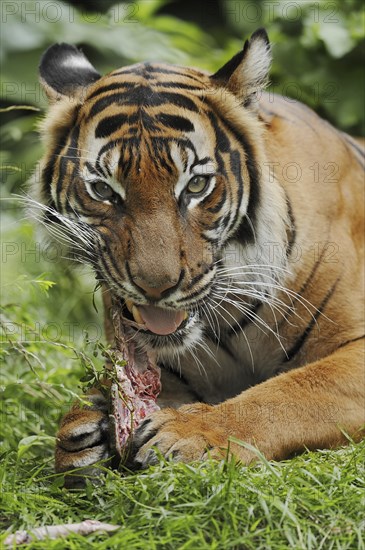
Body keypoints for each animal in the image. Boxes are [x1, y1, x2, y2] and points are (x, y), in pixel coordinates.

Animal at [32, 30, 362, 488]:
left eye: (196, 186)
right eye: (103, 190)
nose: (156, 287)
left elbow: (290, 392)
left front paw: (193, 433)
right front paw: (82, 431)